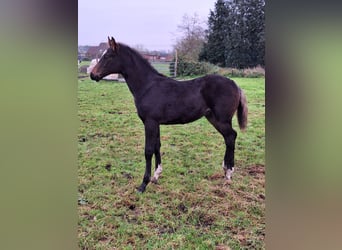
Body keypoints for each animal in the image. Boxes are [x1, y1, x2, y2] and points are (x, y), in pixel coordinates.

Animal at [89, 37, 247, 193]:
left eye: (108, 56)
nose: (92, 74)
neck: (147, 86)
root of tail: (235, 84)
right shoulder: (155, 123)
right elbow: (157, 146)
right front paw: (156, 175)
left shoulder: (150, 122)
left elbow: (148, 150)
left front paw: (143, 184)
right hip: (214, 118)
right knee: (228, 138)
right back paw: (225, 170)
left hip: (221, 119)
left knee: (231, 136)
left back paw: (229, 173)